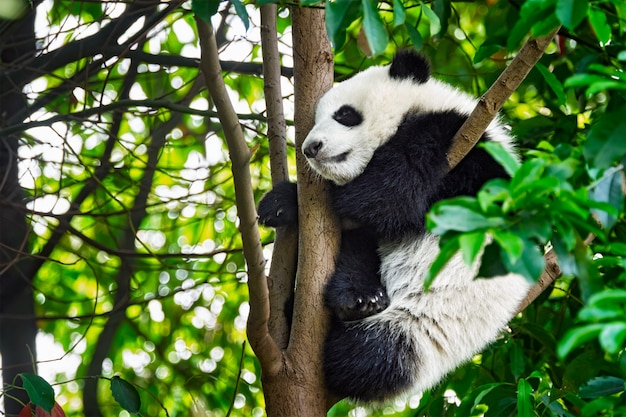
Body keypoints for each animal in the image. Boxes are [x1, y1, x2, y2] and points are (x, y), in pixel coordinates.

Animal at [256, 49, 528, 404]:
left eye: (345, 115)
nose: (310, 148)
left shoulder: (468, 150)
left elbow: (389, 194)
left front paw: (324, 196)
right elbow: (366, 218)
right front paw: (278, 206)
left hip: (418, 333)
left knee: (366, 357)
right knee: (358, 252)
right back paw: (359, 299)